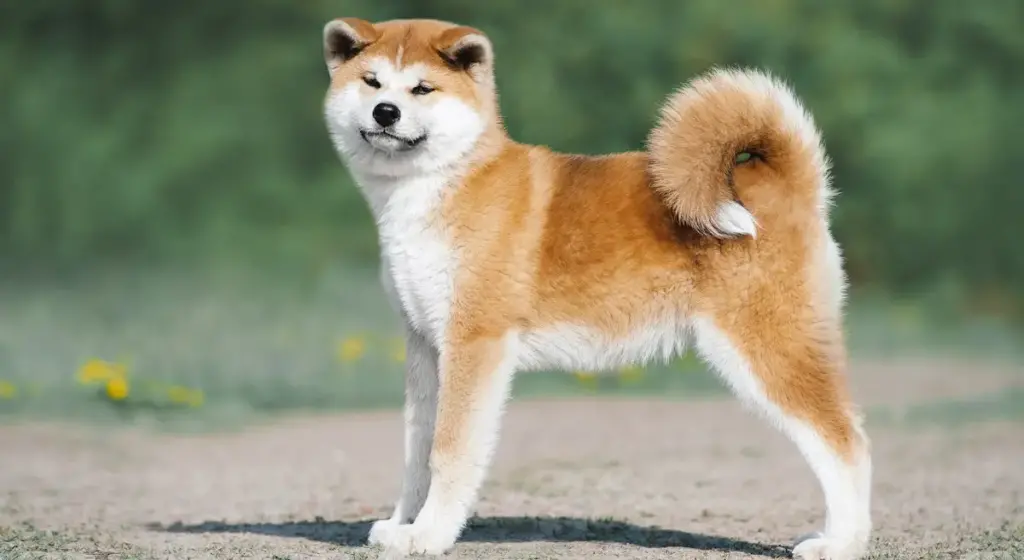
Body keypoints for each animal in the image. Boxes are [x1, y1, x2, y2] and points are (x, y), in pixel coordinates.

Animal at [319, 16, 872, 560]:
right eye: (371, 82)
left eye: (422, 88)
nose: (386, 112)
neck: (440, 186)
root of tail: (787, 182)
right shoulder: (424, 345)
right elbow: (417, 452)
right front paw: (402, 526)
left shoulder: (474, 342)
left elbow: (449, 452)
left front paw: (430, 535)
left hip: (766, 352)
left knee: (846, 444)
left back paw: (840, 543)